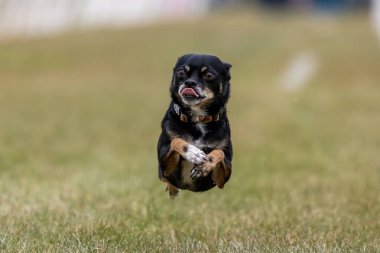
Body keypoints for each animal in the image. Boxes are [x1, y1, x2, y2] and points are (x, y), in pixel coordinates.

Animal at [157, 53, 233, 199]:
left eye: (209, 75)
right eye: (181, 73)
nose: (189, 82)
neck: (197, 118)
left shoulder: (222, 179)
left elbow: (219, 152)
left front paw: (205, 165)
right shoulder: (165, 167)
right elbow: (176, 140)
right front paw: (193, 153)